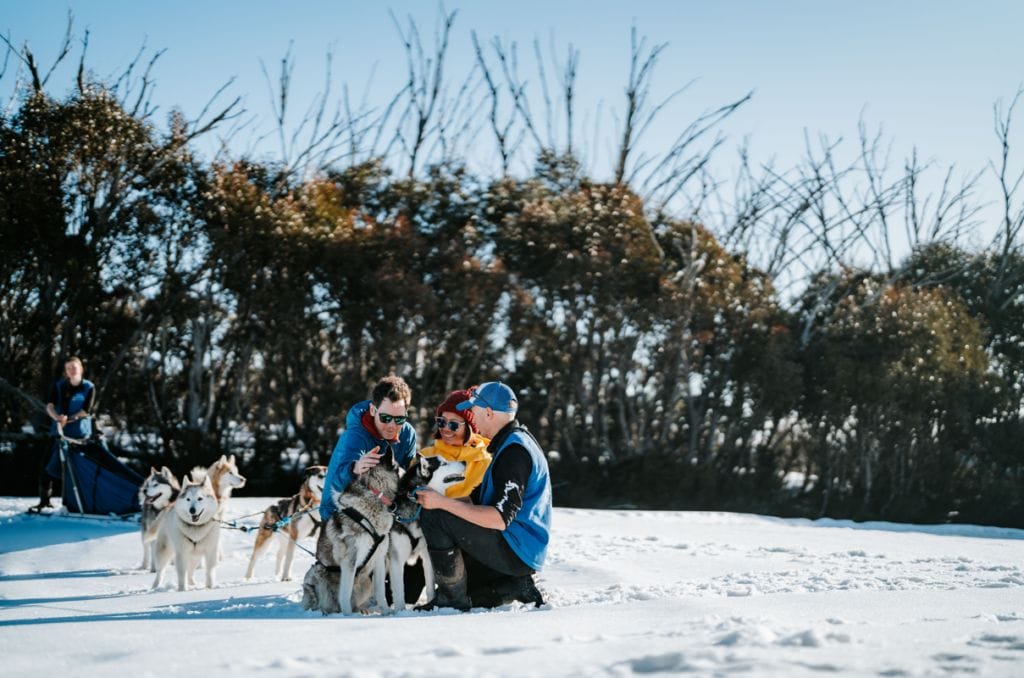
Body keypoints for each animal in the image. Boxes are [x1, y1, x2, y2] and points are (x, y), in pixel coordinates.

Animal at [315, 446, 399, 614]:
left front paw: (387, 613)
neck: (375, 494)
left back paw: (363, 610)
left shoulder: (379, 558)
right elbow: (345, 595)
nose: (389, 445)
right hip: (321, 576)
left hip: (366, 583)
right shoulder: (350, 561)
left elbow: (381, 592)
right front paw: (347, 616)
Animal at [387, 456, 468, 610]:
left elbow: (430, 586)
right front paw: (400, 611)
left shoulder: (426, 555)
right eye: (443, 464)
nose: (465, 462)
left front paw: (431, 604)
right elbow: (399, 592)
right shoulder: (396, 560)